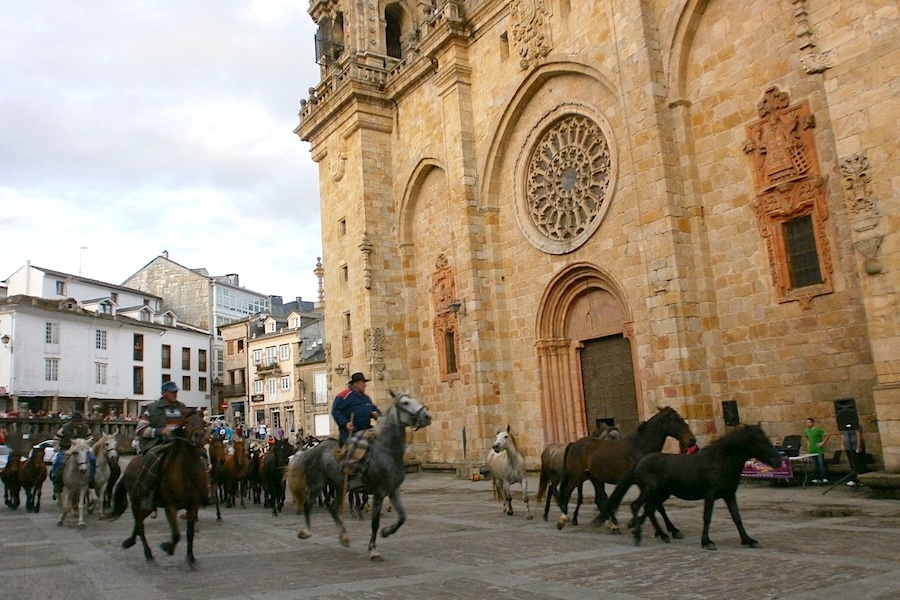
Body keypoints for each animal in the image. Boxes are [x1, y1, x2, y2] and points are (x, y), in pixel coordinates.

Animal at [104, 408, 207, 568]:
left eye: (203, 422)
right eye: (187, 422)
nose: (199, 437)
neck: (185, 471)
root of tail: (128, 470)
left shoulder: (193, 505)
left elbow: (189, 533)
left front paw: (190, 558)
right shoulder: (171, 506)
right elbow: (176, 535)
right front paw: (167, 547)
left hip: (148, 505)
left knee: (139, 521)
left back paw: (130, 541)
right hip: (137, 501)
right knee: (140, 525)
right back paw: (148, 554)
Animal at [284, 392, 432, 560]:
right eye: (405, 403)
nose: (427, 416)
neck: (386, 451)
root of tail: (311, 450)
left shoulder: (393, 490)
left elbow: (402, 518)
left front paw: (386, 532)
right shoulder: (379, 492)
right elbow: (375, 522)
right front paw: (373, 550)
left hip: (338, 486)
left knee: (333, 508)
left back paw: (344, 537)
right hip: (317, 484)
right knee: (308, 505)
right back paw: (306, 532)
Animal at [556, 406, 696, 532]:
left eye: (681, 418)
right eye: (674, 420)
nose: (692, 440)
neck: (640, 446)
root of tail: (574, 444)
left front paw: (671, 529)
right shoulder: (644, 483)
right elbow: (658, 506)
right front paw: (672, 530)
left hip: (595, 478)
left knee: (601, 500)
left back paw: (612, 525)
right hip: (577, 477)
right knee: (567, 494)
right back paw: (563, 520)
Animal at [628, 424, 784, 552]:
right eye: (760, 441)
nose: (779, 462)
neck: (720, 461)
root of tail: (639, 464)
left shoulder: (729, 494)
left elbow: (737, 517)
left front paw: (748, 540)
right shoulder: (710, 494)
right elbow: (707, 517)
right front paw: (707, 542)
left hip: (661, 493)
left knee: (650, 508)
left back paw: (663, 535)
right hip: (650, 490)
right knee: (636, 506)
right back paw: (638, 536)